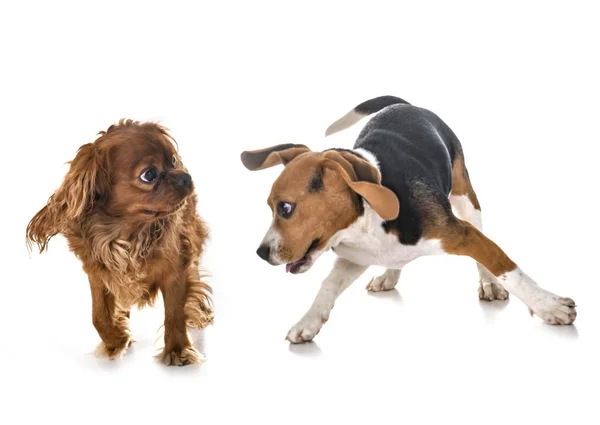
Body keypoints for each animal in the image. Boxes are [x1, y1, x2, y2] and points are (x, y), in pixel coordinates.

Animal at [26, 118, 213, 364]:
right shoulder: (98, 273)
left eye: (173, 160)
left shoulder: (175, 269)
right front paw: (116, 340)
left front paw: (177, 350)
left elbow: (174, 313)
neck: (125, 234)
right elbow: (98, 315)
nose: (185, 176)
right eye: (149, 174)